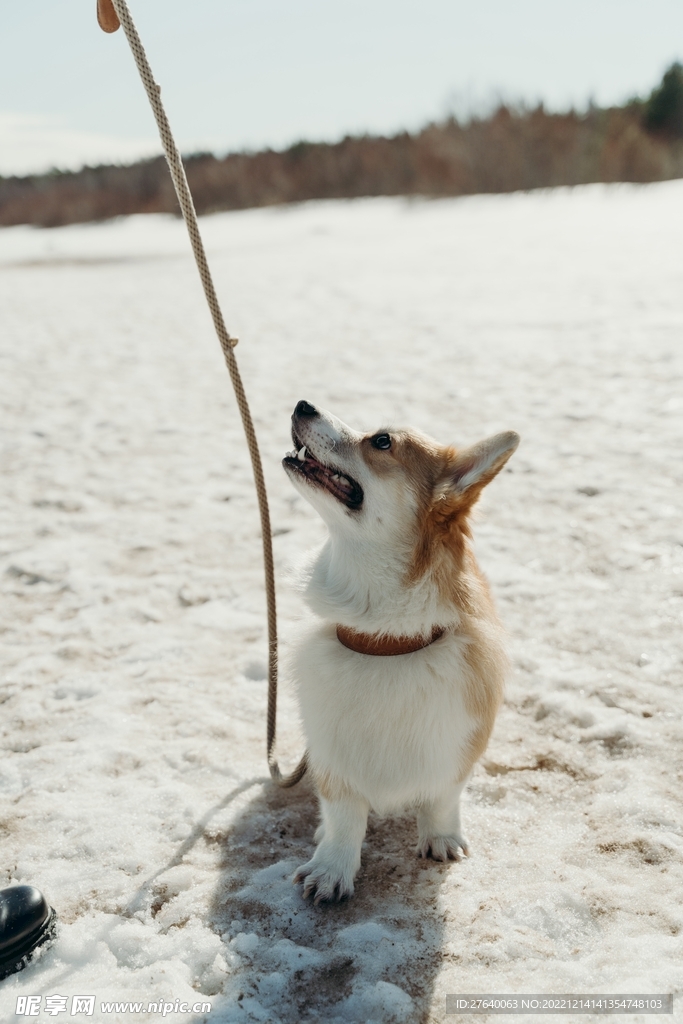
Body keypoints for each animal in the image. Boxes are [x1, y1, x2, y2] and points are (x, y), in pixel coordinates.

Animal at [282, 399, 518, 905]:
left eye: (382, 441)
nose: (302, 404)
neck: (387, 643)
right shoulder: (332, 755)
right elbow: (344, 816)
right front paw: (331, 868)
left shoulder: (459, 745)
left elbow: (444, 797)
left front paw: (441, 838)